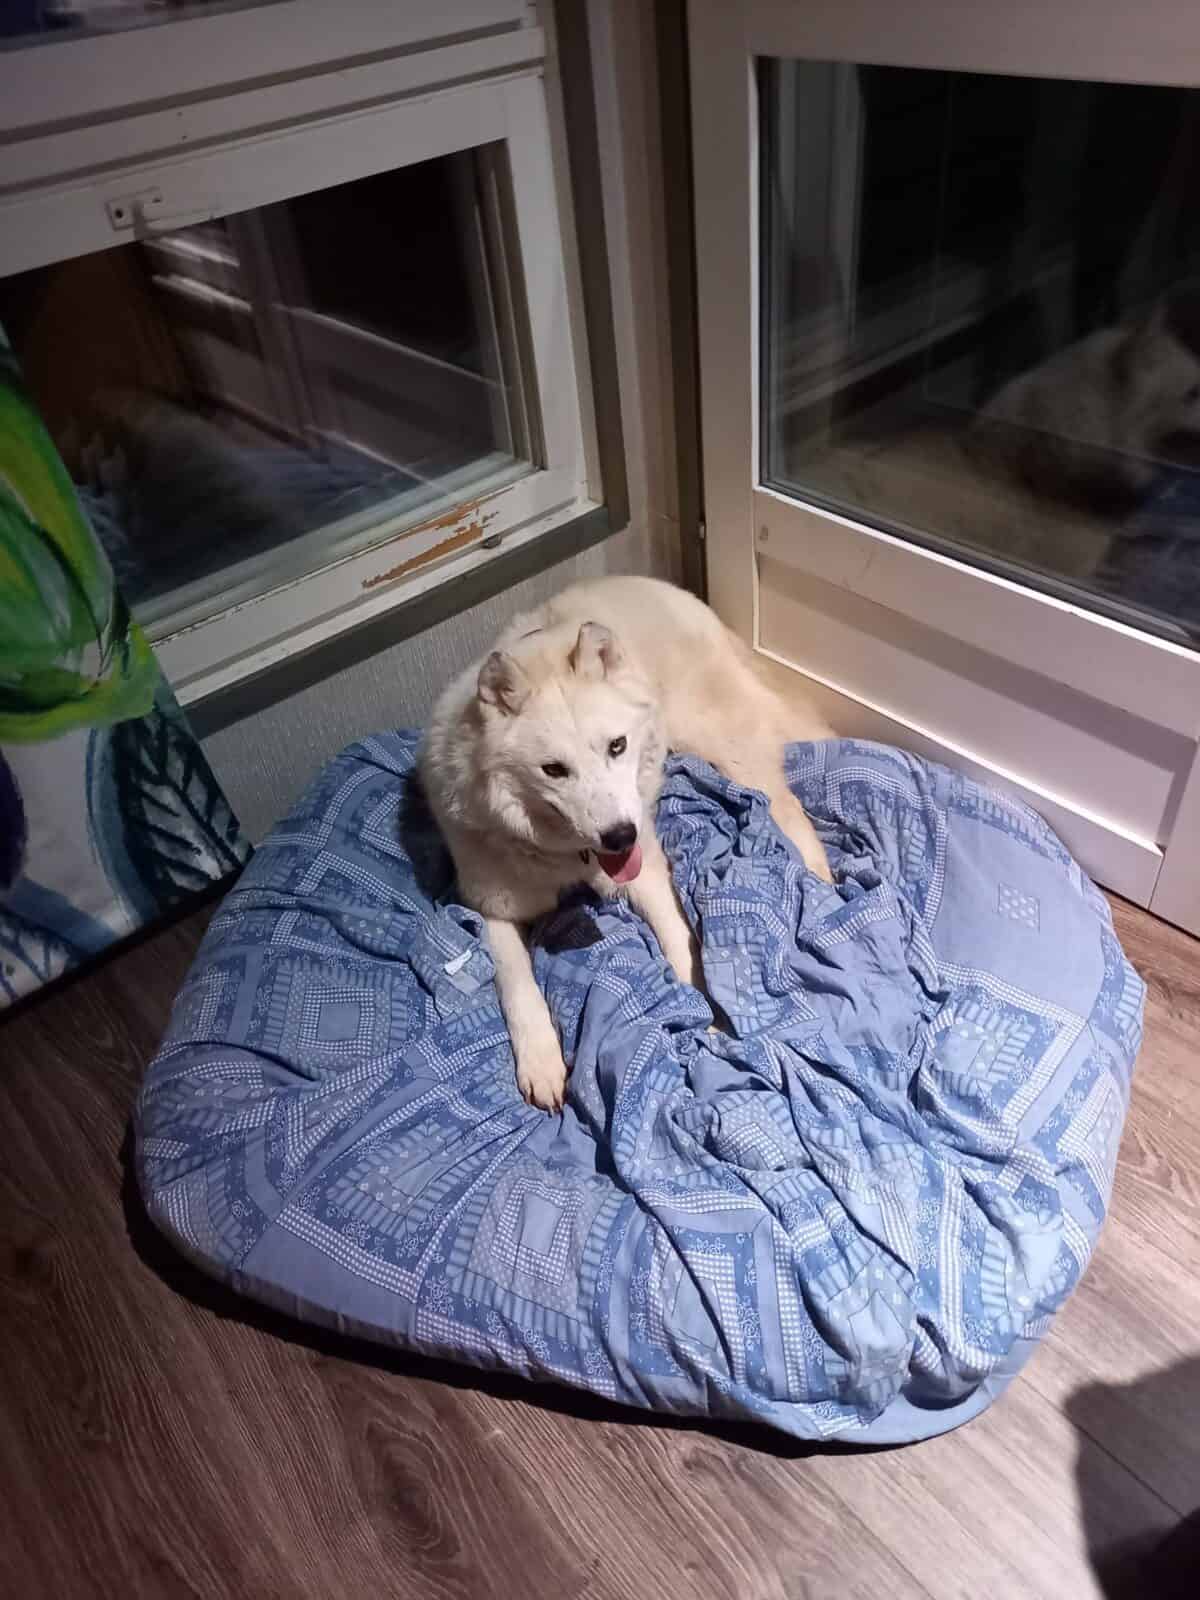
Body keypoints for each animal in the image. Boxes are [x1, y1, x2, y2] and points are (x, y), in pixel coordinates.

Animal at [420, 575, 833, 1111]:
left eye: (616, 746)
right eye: (553, 770)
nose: (620, 835)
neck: (564, 856)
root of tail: (663, 588)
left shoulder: (649, 872)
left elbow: (682, 945)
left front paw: (710, 1012)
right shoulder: (492, 907)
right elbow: (516, 983)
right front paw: (541, 1063)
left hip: (723, 748)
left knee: (790, 810)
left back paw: (817, 883)